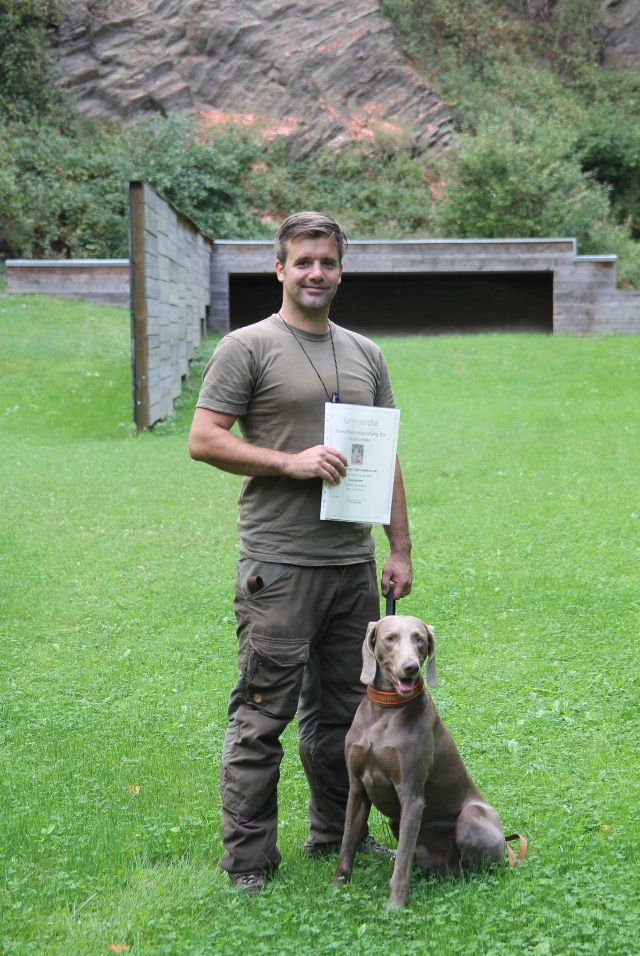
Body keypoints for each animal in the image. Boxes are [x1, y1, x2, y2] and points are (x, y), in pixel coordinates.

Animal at [333, 615, 523, 907]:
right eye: (390, 638)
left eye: (419, 639)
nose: (410, 667)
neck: (385, 712)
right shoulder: (357, 789)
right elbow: (346, 844)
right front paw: (336, 887)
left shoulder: (412, 797)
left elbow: (401, 860)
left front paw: (396, 904)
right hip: (396, 822)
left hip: (472, 819)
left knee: (471, 869)